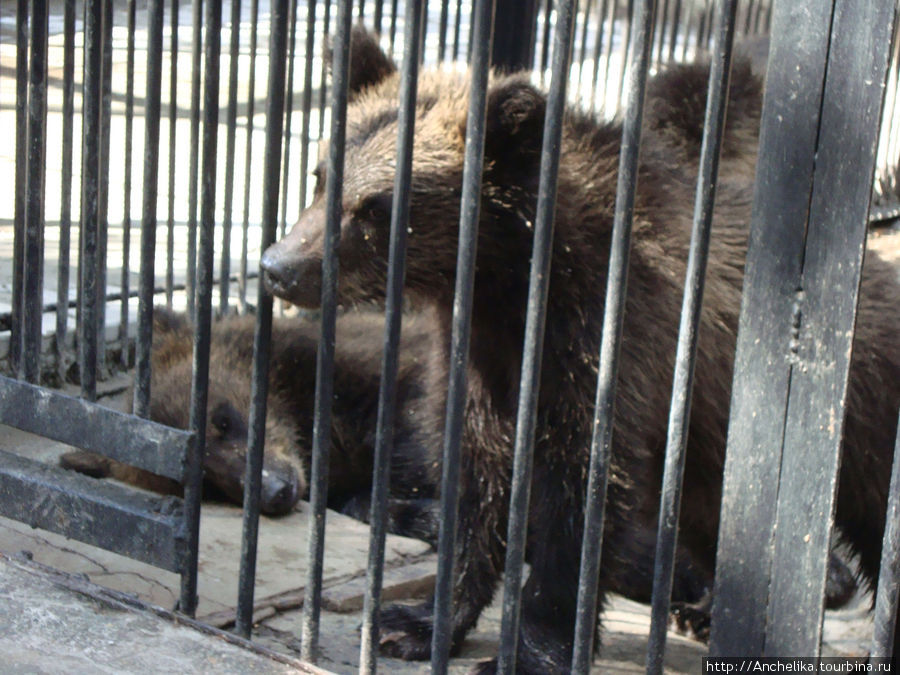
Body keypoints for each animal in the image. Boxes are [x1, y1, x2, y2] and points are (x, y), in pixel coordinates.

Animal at [258, 26, 900, 672]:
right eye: (320, 175)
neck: (513, 278)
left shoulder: (611, 340)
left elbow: (581, 498)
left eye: (378, 208)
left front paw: (531, 647)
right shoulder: (485, 356)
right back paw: (703, 609)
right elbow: (475, 478)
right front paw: (416, 621)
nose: (277, 267)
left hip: (862, 422)